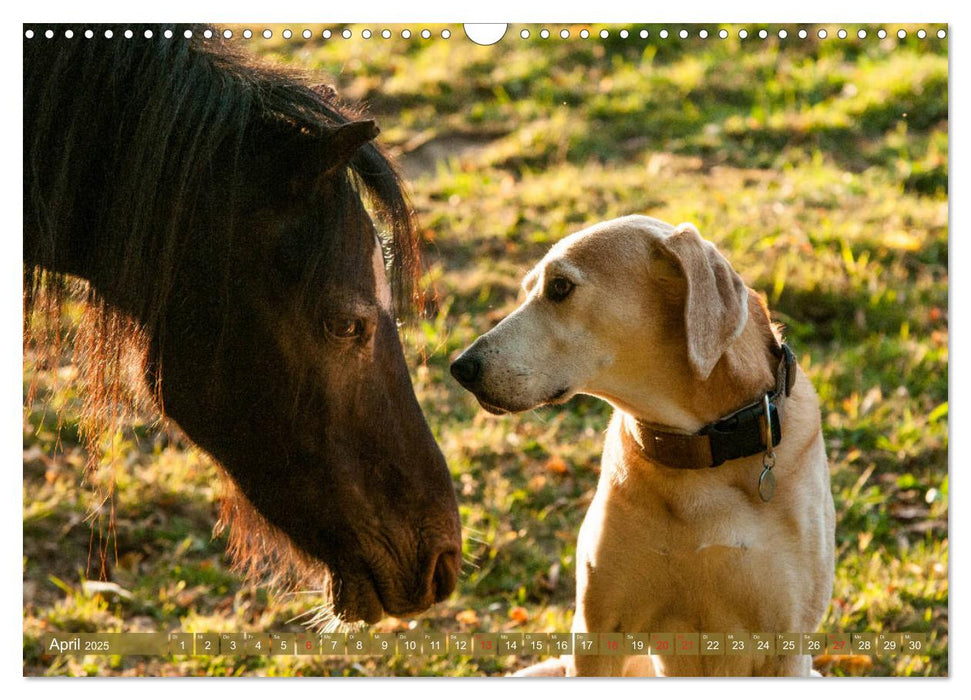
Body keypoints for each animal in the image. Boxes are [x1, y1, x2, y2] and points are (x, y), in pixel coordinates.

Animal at [448, 216, 836, 676]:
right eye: (529, 289)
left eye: (559, 287)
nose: (461, 368)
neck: (697, 455)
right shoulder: (596, 633)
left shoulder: (786, 645)